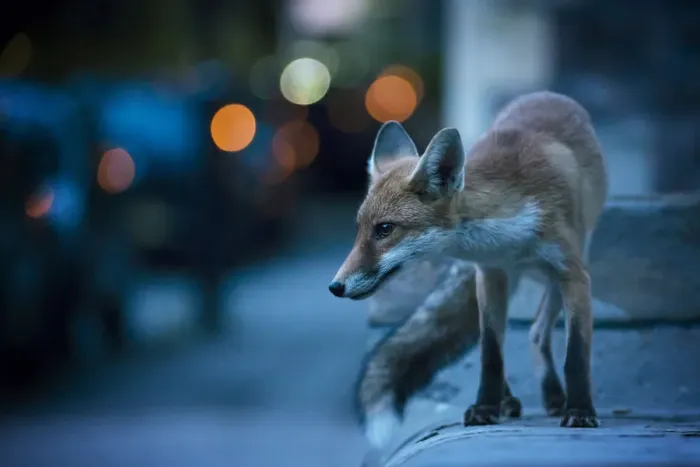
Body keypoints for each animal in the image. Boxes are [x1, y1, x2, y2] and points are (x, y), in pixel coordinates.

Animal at [329, 91, 608, 445]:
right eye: (360, 229)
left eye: (384, 229)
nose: (335, 287)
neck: (508, 235)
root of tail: (548, 95)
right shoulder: (489, 273)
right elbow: (490, 351)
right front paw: (486, 407)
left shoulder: (574, 275)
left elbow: (576, 354)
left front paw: (581, 410)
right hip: (500, 284)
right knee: (509, 336)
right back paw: (510, 401)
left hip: (563, 270)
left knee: (536, 331)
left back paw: (555, 397)